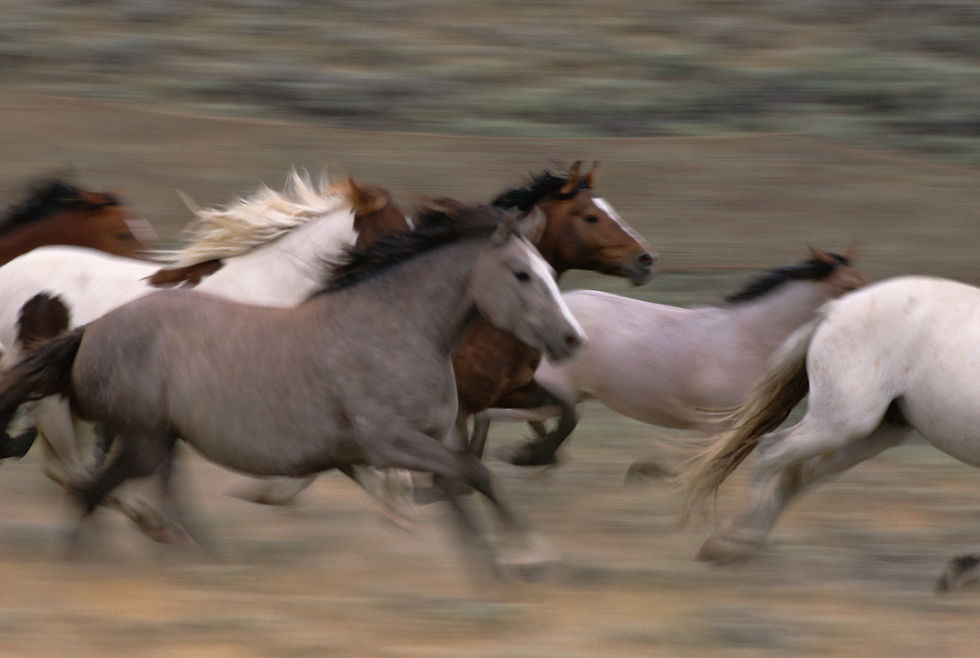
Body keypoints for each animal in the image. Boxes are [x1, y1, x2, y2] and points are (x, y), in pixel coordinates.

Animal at [234, 160, 658, 506]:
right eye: (590, 217)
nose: (646, 259)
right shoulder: (458, 408)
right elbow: (458, 473)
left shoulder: (509, 391)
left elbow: (568, 413)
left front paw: (531, 454)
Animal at [677, 275, 980, 589]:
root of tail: (834, 308)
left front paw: (963, 569)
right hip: (843, 422)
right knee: (771, 450)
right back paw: (737, 542)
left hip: (875, 432)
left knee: (796, 472)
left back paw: (728, 546)